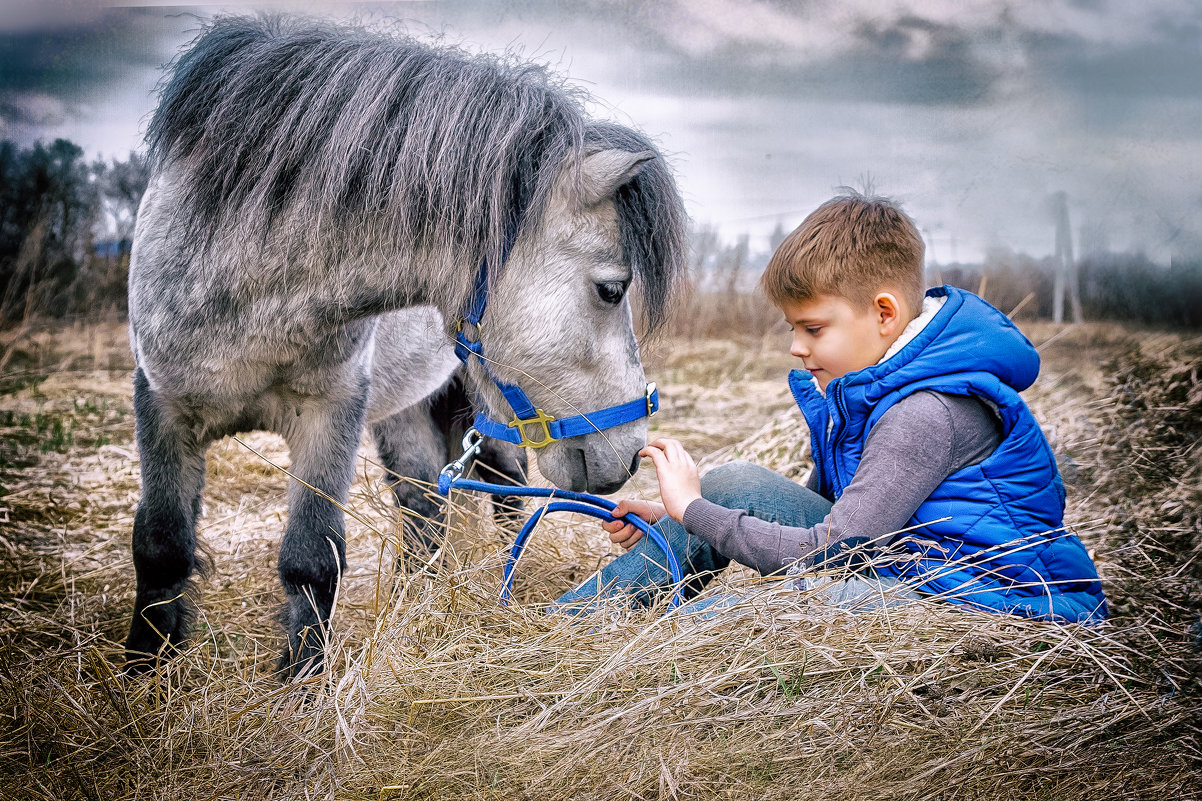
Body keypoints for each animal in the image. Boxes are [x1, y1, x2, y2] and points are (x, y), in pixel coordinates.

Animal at [126, 14, 692, 673]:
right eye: (611, 289)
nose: (631, 453)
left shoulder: (330, 417)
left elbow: (310, 557)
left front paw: (302, 680)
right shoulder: (163, 407)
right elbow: (162, 545)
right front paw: (144, 668)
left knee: (504, 494)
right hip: (407, 414)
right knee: (424, 508)